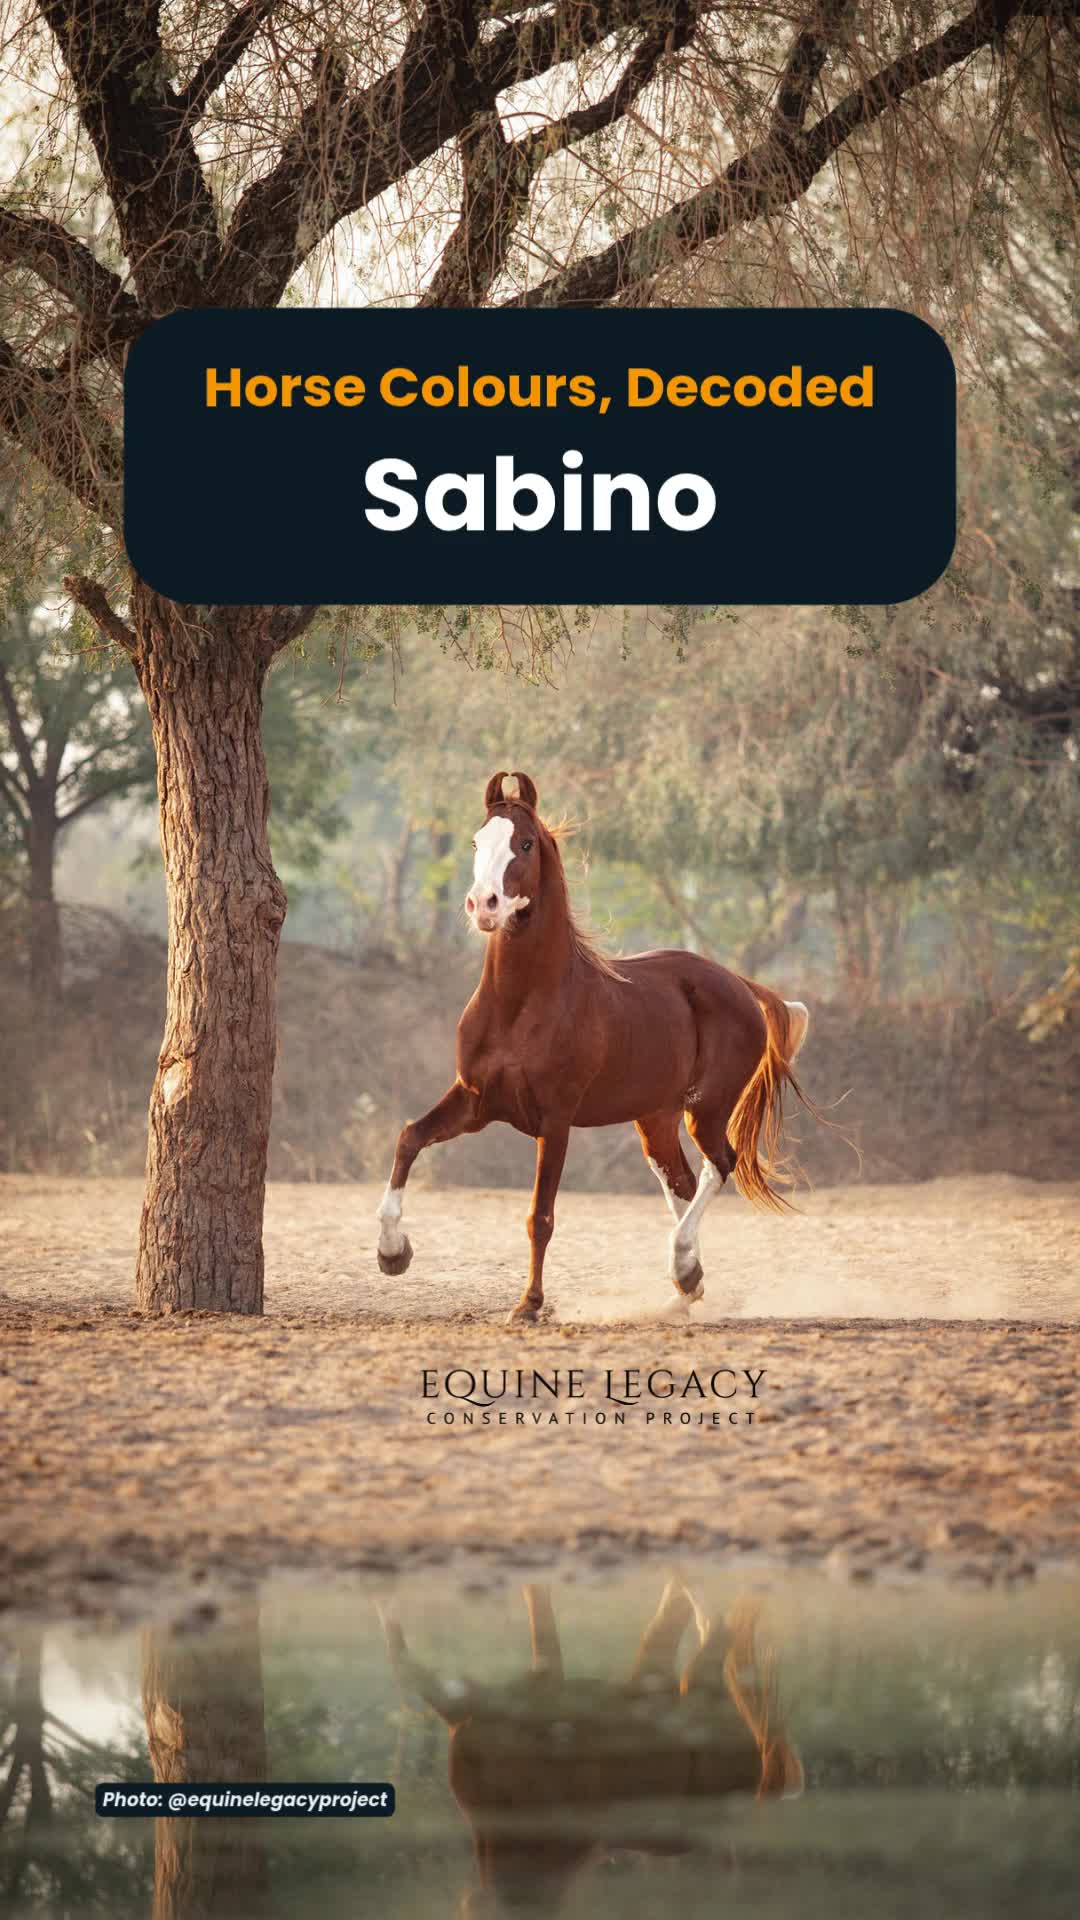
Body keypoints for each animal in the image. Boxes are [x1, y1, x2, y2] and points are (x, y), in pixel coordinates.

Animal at [376, 770, 814, 1323]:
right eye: (477, 841)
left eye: (525, 843)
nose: (483, 905)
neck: (520, 1006)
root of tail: (738, 983)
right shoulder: (474, 1101)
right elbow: (409, 1138)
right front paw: (393, 1253)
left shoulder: (555, 1121)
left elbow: (540, 1216)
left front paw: (528, 1305)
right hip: (656, 1119)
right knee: (681, 1184)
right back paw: (684, 1286)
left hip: (707, 1109)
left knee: (719, 1166)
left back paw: (682, 1270)